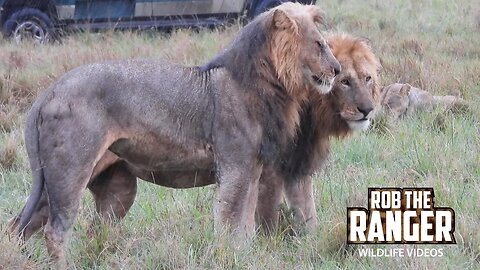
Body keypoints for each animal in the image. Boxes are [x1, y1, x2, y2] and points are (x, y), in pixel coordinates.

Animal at [11, 2, 342, 268]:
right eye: (318, 44)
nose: (338, 70)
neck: (271, 85)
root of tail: (50, 91)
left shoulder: (253, 170)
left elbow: (246, 225)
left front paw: (246, 256)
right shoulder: (236, 168)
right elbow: (231, 222)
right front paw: (233, 257)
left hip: (87, 186)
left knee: (20, 226)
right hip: (70, 172)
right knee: (55, 231)